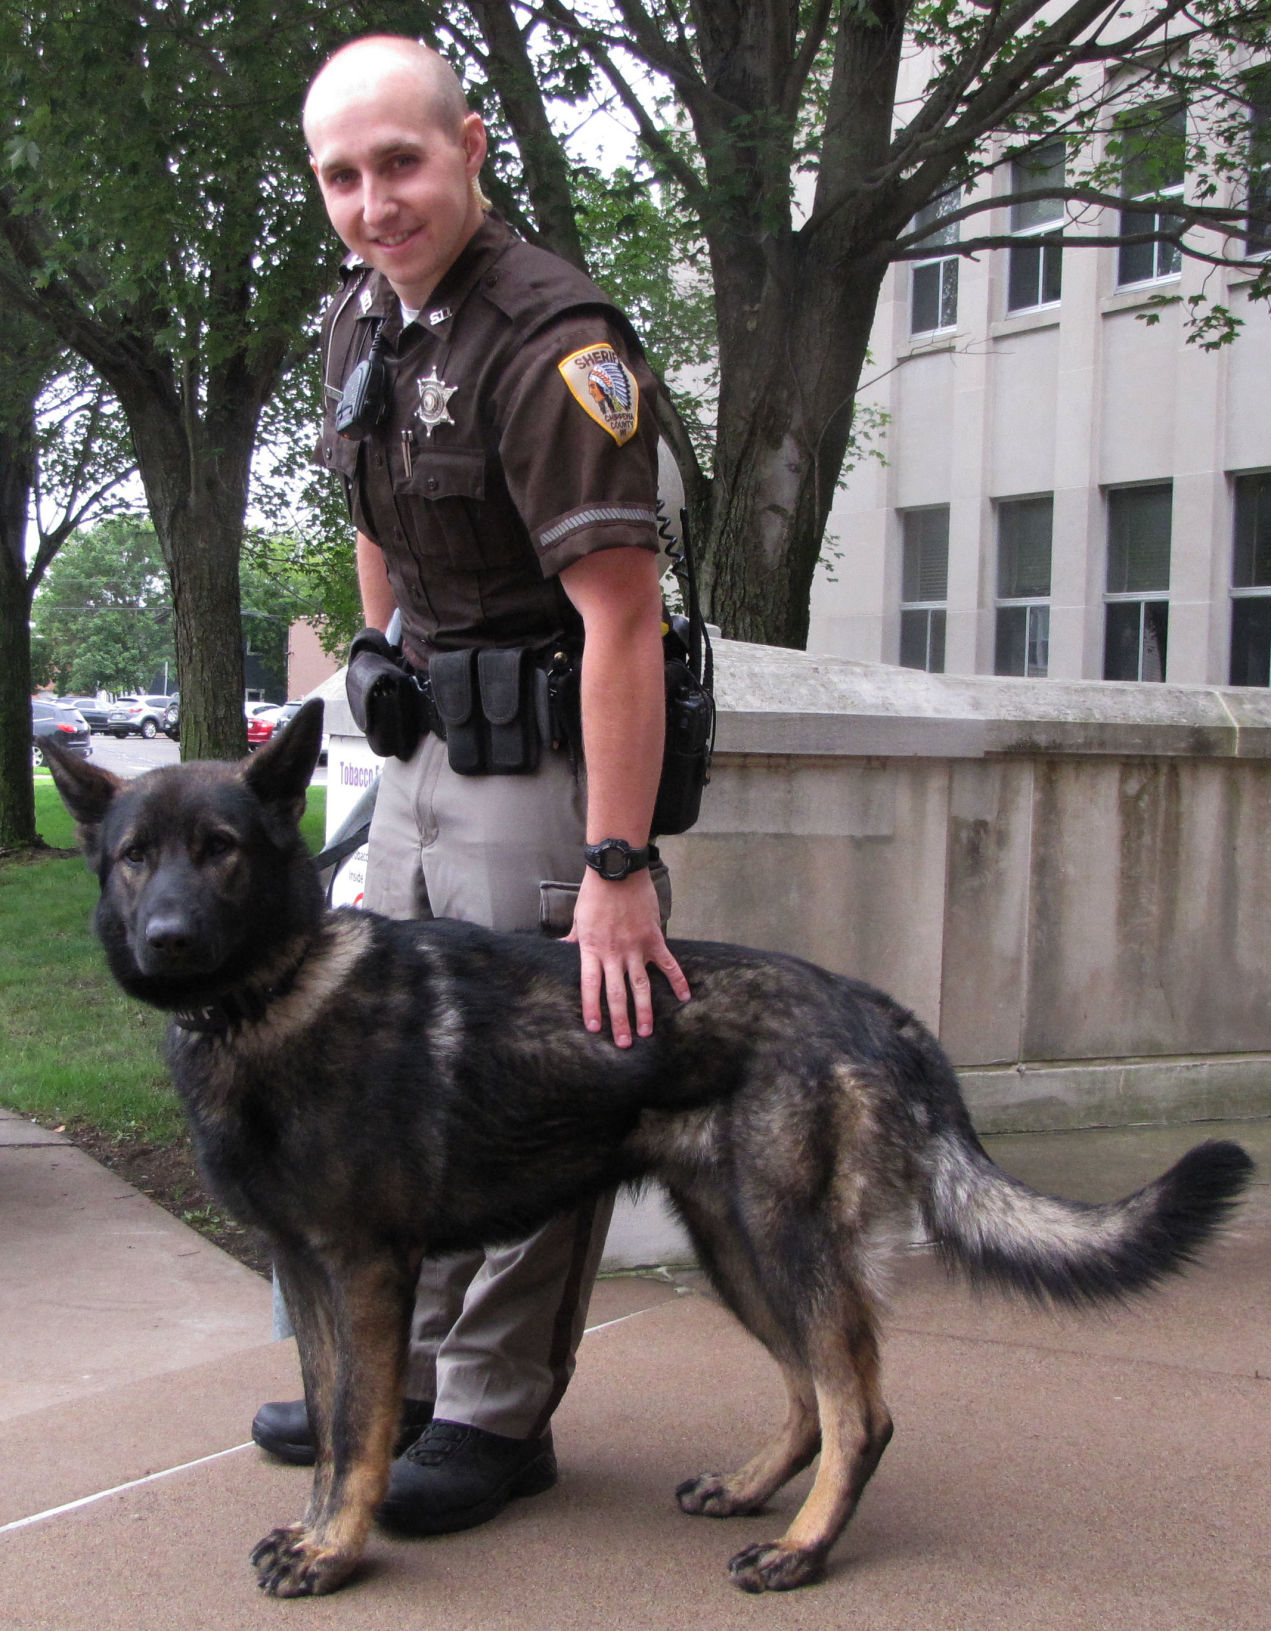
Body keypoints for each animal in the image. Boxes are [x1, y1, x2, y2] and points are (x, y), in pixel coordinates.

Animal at [47, 701, 1253, 1591]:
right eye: (133, 859)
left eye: (220, 853)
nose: (167, 940)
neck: (274, 996)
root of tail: (872, 1005)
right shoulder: (307, 1274)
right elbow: (337, 1421)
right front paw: (313, 1531)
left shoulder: (364, 1271)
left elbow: (358, 1428)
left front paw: (337, 1550)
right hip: (735, 1247)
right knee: (811, 1399)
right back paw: (752, 1489)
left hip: (781, 1243)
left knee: (859, 1408)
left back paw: (801, 1549)